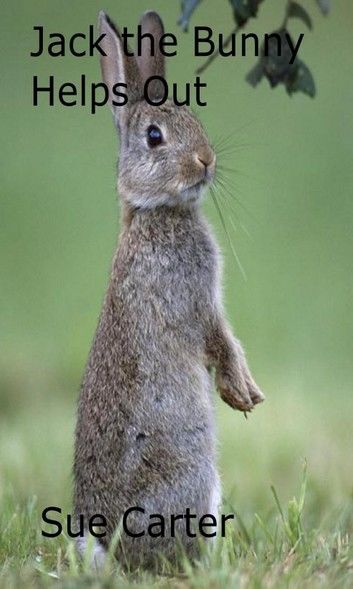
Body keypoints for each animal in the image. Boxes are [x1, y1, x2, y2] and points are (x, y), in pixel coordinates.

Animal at [73, 8, 262, 568]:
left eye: (194, 118)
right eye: (155, 136)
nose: (206, 160)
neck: (153, 212)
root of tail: (110, 548)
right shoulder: (196, 302)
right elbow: (221, 341)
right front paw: (241, 393)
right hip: (193, 475)